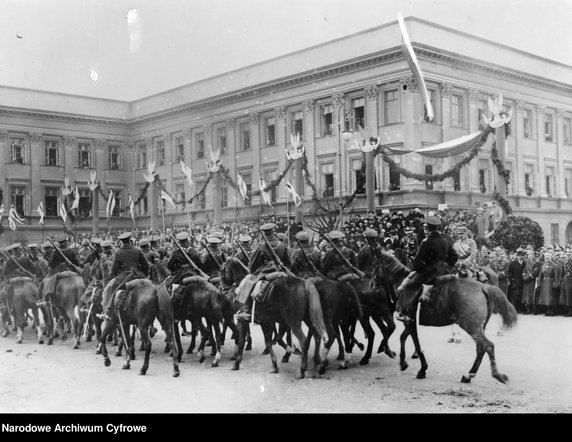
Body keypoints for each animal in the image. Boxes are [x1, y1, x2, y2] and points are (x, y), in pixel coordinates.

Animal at [376, 252, 520, 384]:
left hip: (470, 326)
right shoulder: (410, 321)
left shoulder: (409, 320)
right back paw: (469, 375)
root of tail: (482, 286)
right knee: (481, 348)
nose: (375, 285)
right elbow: (403, 337)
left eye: (376, 267)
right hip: (478, 327)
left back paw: (497, 375)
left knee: (488, 346)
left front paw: (421, 369)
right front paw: (403, 361)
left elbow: (416, 343)